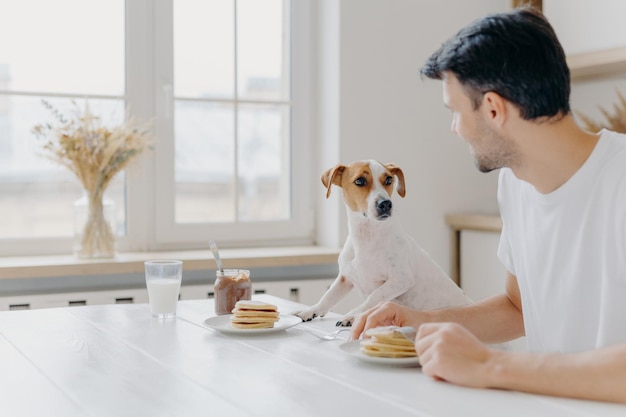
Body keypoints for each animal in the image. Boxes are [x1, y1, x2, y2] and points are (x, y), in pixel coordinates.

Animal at [292, 159, 468, 324]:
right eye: (360, 181)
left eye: (389, 180)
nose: (386, 204)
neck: (367, 236)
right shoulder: (345, 278)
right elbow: (328, 296)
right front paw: (310, 311)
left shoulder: (400, 279)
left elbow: (375, 296)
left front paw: (354, 315)